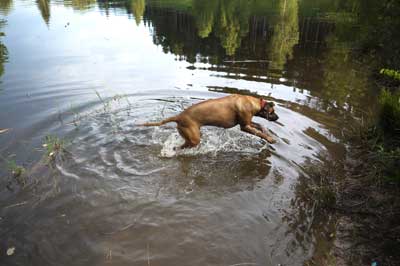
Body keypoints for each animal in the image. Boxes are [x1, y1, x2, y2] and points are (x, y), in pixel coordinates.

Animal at [141, 95, 278, 150]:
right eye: (272, 112)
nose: (277, 118)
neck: (254, 103)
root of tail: (179, 116)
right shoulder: (244, 126)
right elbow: (258, 133)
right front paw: (270, 139)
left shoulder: (248, 123)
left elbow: (260, 126)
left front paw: (266, 131)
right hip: (194, 138)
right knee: (181, 146)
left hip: (191, 135)